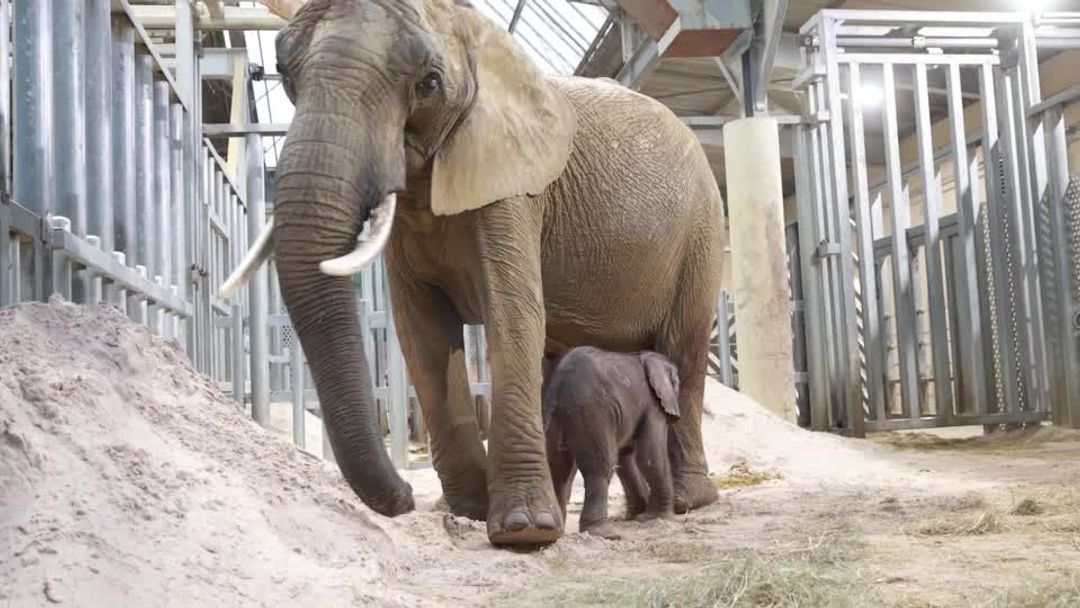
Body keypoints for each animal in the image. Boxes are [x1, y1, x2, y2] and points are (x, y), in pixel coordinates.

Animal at [543, 347, 681, 540]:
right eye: (678, 384)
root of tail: (559, 385)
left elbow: (626, 458)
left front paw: (637, 516)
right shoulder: (653, 405)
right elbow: (650, 457)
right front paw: (656, 518)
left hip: (553, 417)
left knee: (558, 472)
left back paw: (559, 531)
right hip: (591, 415)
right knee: (600, 468)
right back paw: (605, 533)